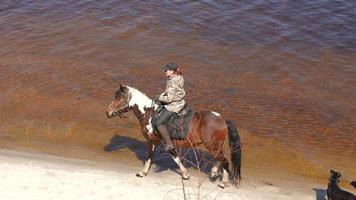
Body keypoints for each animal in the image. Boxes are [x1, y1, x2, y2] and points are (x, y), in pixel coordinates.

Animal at [105, 85, 242, 188]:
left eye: (119, 98)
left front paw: (185, 175)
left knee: (224, 160)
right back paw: (213, 173)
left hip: (212, 146)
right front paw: (143, 173)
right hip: (215, 146)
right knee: (222, 158)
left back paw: (223, 183)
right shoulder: (152, 141)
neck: (149, 114)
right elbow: (149, 158)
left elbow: (175, 158)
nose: (108, 112)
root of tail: (222, 120)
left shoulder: (163, 142)